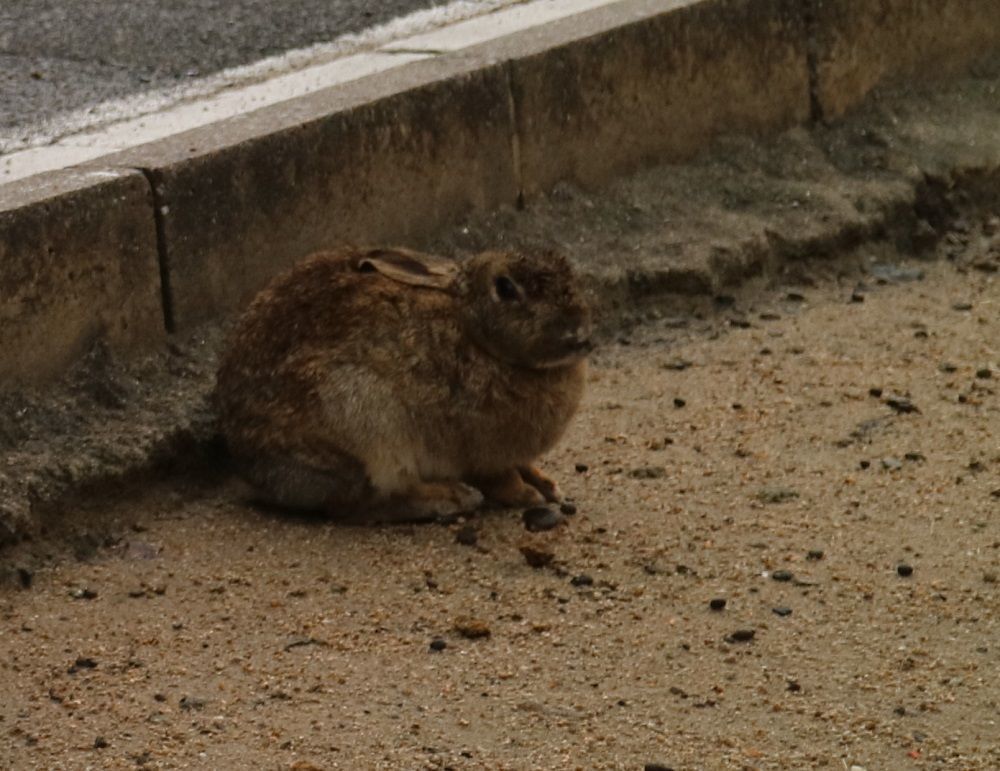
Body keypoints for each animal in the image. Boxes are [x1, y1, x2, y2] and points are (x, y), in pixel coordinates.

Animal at [215, 247, 588, 520]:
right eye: (506, 288)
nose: (579, 332)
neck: (476, 332)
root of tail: (253, 470)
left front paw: (548, 486)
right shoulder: (480, 449)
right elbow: (500, 478)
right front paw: (526, 495)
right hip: (363, 427)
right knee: (362, 503)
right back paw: (454, 498)